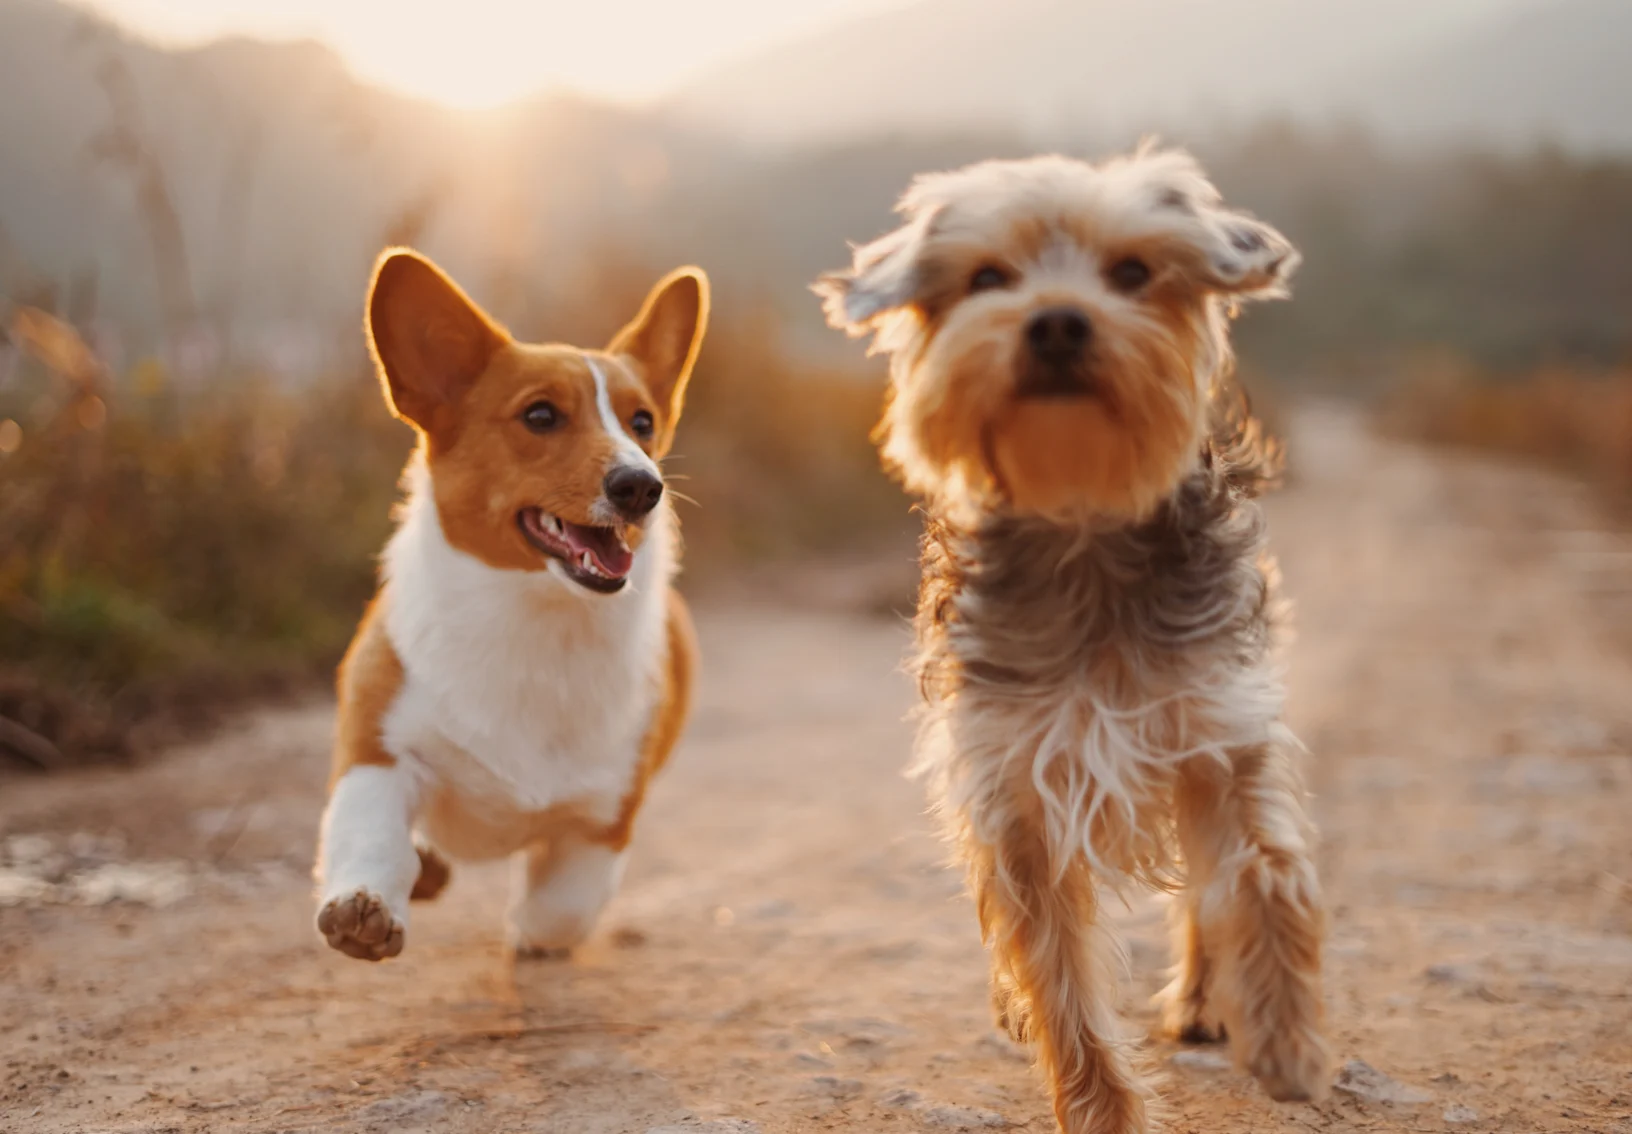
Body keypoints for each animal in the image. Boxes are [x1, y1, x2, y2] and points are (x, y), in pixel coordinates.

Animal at [314, 252, 705, 959]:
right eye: (541, 416)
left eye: (642, 423)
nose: (642, 486)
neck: (535, 617)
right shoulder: (379, 752)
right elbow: (371, 835)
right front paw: (364, 906)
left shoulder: (603, 819)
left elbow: (562, 909)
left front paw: (528, 932)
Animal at [822, 146, 1331, 1129]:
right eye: (988, 278)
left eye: (1132, 272)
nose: (1057, 321)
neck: (1083, 522)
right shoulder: (1013, 786)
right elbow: (1058, 975)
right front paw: (1101, 1109)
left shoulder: (1219, 728)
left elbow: (1264, 871)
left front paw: (1285, 1034)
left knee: (1204, 892)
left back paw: (1208, 999)